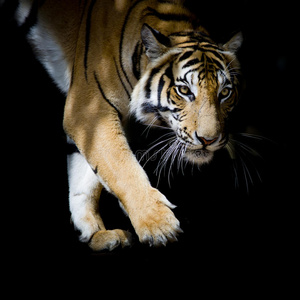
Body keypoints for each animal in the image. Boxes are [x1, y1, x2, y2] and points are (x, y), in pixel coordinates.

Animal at [15, 0, 243, 250]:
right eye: (184, 90)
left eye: (225, 92)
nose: (208, 140)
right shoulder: (88, 110)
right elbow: (123, 168)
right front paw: (158, 225)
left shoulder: (91, 124)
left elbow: (85, 180)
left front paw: (96, 235)